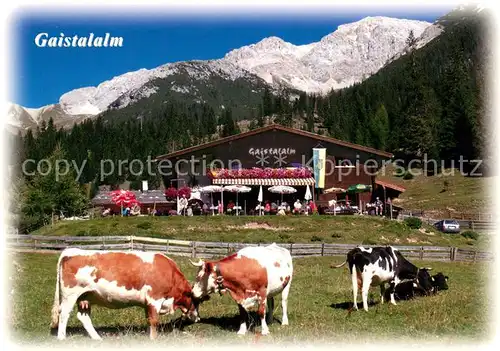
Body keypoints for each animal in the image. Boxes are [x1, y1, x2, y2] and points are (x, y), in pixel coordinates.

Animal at [50, 248, 199, 340]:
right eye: (195, 299)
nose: (197, 318)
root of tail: (70, 251)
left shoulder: (147, 303)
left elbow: (149, 320)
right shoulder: (154, 299)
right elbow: (154, 321)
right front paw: (153, 339)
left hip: (85, 297)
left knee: (83, 317)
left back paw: (97, 338)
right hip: (70, 295)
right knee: (64, 314)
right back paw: (62, 338)